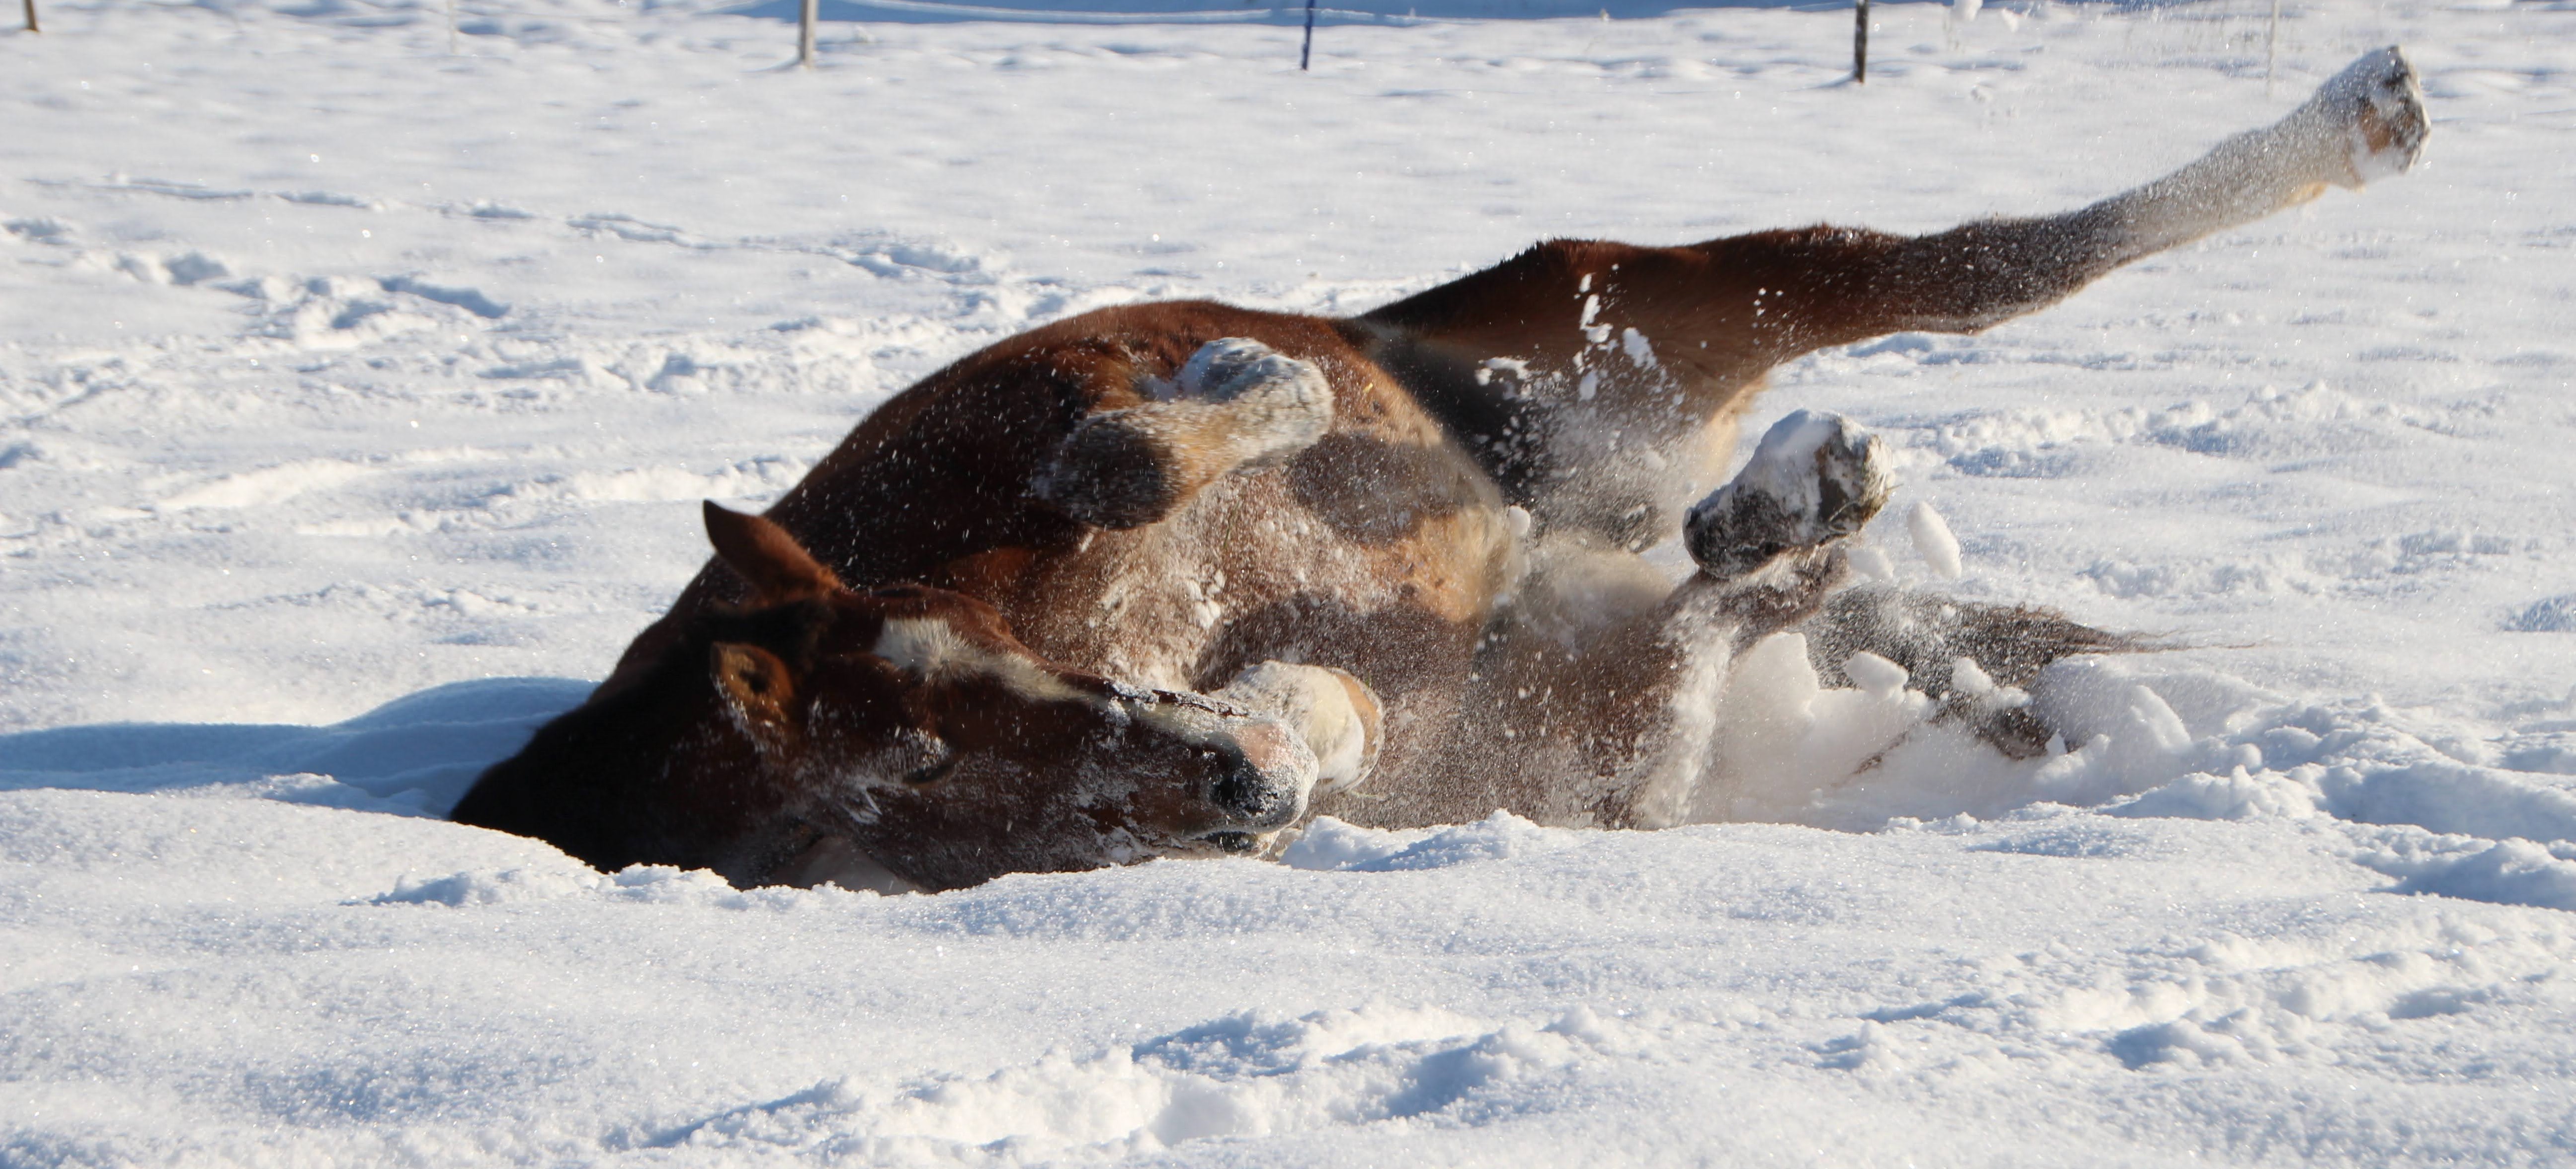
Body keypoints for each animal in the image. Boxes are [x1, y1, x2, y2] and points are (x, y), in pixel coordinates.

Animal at [458, 50, 2431, 891]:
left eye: (959, 697)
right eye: (912, 813)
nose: (1217, 785)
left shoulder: (1044, 411)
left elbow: (1148, 436)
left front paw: (1205, 404)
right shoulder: (1446, 730)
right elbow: (1329, 706)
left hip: (1656, 289)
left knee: (1982, 266)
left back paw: (2357, 119)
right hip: (1623, 645)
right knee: (1768, 612)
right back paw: (1783, 507)